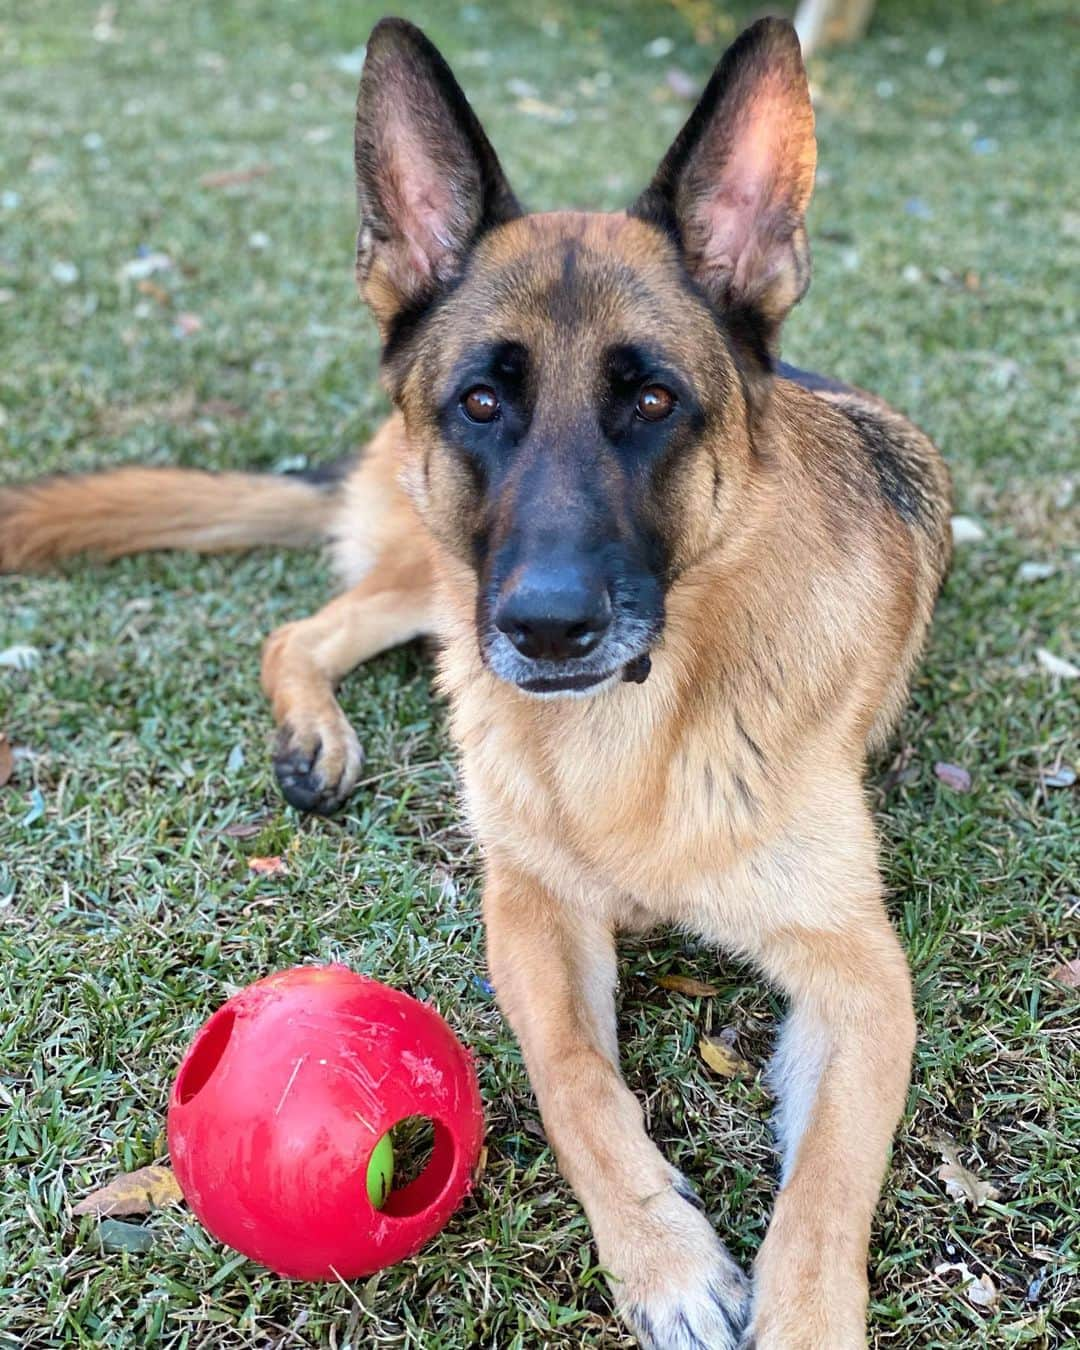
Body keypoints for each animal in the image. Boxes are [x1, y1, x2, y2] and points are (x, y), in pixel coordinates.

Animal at [0, 15, 950, 1344]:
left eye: (653, 400)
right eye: (484, 401)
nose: (548, 629)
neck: (634, 737)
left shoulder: (859, 973)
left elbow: (824, 1194)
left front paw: (799, 1313)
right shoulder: (531, 909)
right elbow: (574, 1081)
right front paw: (662, 1257)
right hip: (434, 588)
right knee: (300, 629)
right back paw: (316, 736)